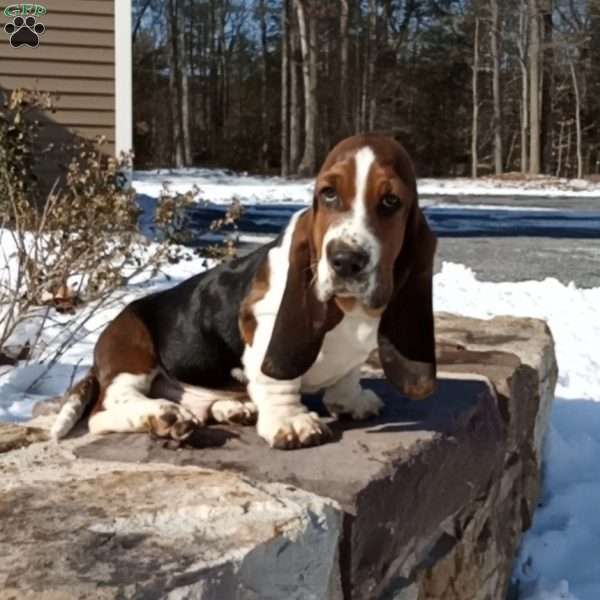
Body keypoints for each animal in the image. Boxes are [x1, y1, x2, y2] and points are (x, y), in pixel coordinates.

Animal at [50, 134, 436, 448]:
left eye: (390, 202)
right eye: (328, 194)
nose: (345, 260)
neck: (350, 309)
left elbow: (348, 374)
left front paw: (352, 400)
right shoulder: (264, 324)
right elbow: (277, 381)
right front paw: (292, 423)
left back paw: (232, 409)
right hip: (132, 350)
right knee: (104, 411)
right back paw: (164, 415)